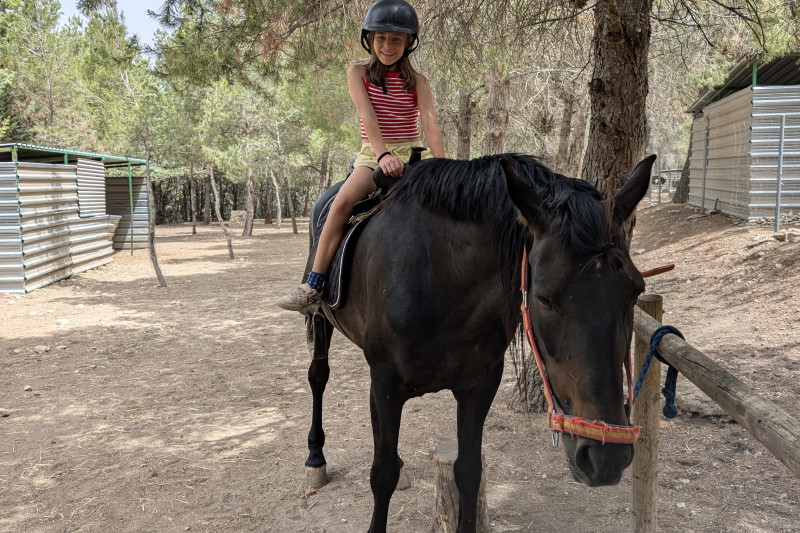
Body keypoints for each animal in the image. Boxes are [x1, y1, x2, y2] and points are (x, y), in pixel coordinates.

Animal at [301, 153, 656, 533]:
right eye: (544, 298)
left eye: (635, 293)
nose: (607, 456)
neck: (438, 278)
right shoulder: (386, 384)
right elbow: (382, 475)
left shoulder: (479, 387)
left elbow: (468, 471)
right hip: (321, 320)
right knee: (318, 377)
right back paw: (315, 458)